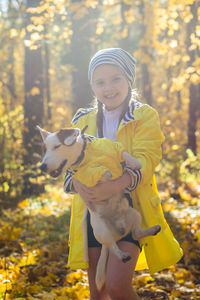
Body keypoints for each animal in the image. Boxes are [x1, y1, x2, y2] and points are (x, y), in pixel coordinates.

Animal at [36, 125, 160, 290]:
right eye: (45, 149)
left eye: (56, 146)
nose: (42, 166)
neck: (85, 155)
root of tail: (118, 233)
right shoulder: (86, 176)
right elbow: (99, 172)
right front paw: (106, 172)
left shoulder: (114, 147)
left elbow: (125, 154)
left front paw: (134, 164)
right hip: (102, 231)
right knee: (115, 246)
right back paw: (122, 255)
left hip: (134, 214)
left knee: (136, 233)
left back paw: (152, 229)